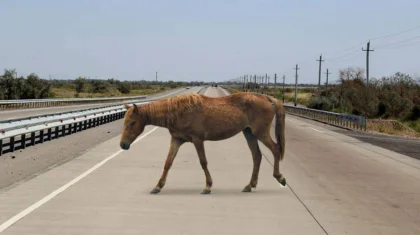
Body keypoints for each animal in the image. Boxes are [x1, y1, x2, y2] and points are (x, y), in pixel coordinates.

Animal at [120, 91, 288, 195]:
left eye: (132, 123)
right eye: (125, 122)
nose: (123, 145)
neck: (178, 111)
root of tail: (267, 98)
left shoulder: (197, 140)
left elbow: (203, 162)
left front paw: (207, 186)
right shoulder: (177, 140)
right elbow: (168, 162)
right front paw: (158, 186)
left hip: (260, 133)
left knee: (275, 149)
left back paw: (280, 177)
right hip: (249, 133)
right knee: (257, 156)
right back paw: (249, 185)